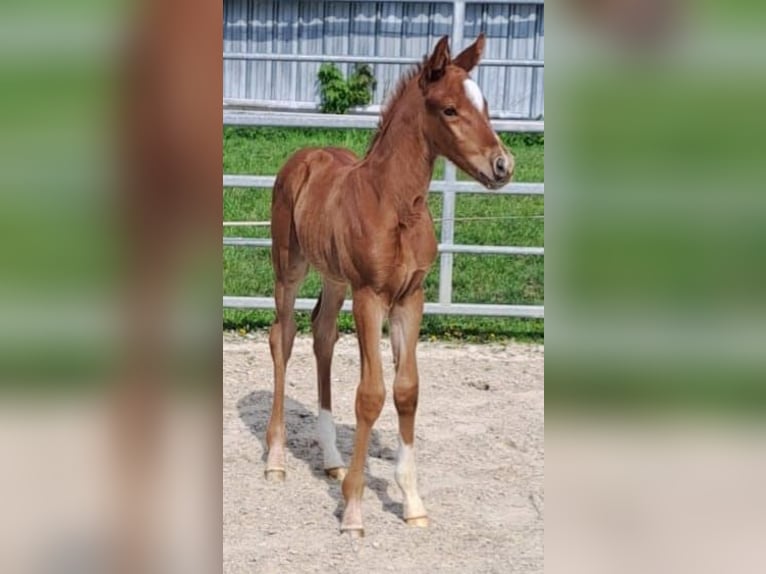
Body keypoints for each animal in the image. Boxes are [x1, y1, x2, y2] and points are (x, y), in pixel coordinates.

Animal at [266, 35, 516, 540]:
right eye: (449, 109)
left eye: (484, 105)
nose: (503, 165)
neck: (396, 206)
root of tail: (305, 156)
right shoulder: (370, 297)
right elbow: (370, 394)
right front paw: (354, 510)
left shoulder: (410, 299)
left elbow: (406, 391)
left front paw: (413, 502)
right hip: (290, 266)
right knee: (282, 337)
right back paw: (277, 459)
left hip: (334, 277)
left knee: (322, 334)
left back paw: (333, 461)